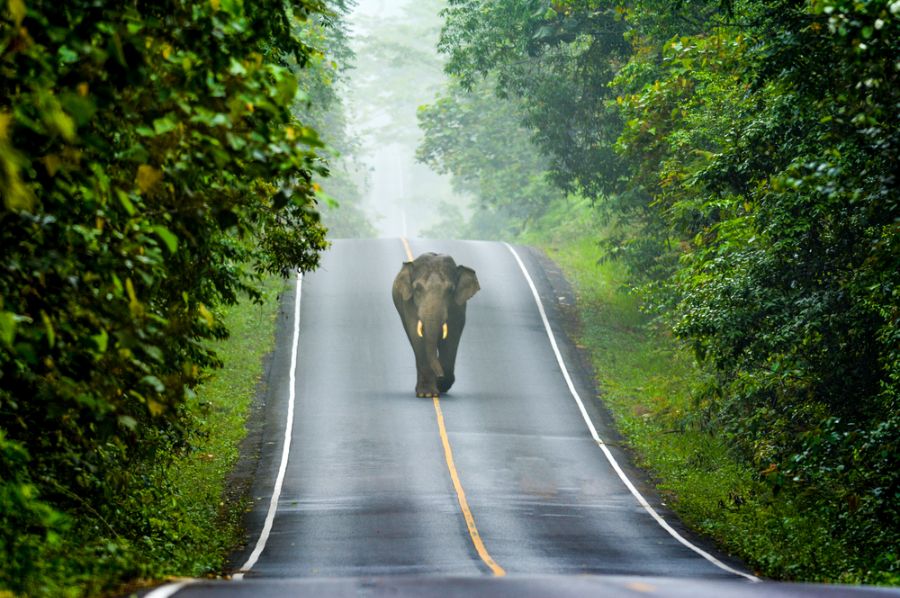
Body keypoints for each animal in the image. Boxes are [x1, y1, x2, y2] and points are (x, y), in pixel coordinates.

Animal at [392, 253, 482, 398]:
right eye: (417, 289)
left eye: (450, 290)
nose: (439, 376)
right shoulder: (409, 304)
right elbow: (417, 337)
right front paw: (427, 394)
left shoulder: (458, 307)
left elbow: (451, 338)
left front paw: (441, 385)